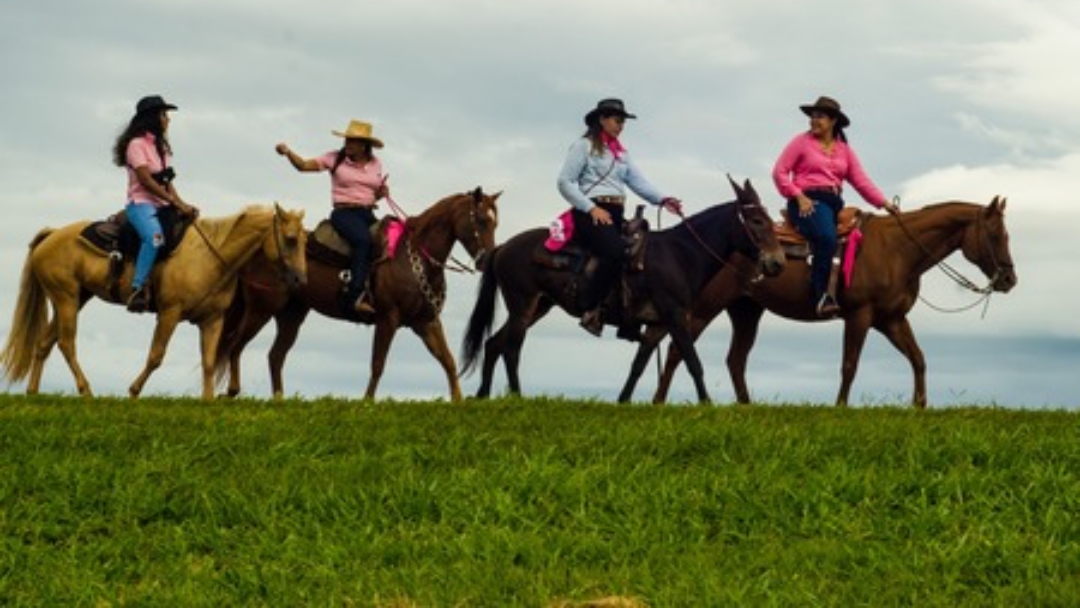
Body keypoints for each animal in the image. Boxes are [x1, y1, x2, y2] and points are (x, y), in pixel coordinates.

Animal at [3, 206, 308, 399]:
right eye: (291, 240)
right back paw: (86, 390)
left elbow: (209, 362)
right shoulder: (169, 314)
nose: (300, 280)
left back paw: (33, 392)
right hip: (65, 298)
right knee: (66, 344)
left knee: (44, 343)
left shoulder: (212, 320)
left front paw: (208, 401)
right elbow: (156, 356)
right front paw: (134, 391)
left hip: (76, 298)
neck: (209, 257)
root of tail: (52, 234)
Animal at [213, 187, 501, 401]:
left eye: (495, 222)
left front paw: (458, 401)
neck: (415, 256)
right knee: (236, 343)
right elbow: (378, 363)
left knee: (275, 355)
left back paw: (278, 399)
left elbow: (448, 361)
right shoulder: (388, 319)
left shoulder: (426, 322)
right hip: (261, 308)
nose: (488, 260)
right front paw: (367, 402)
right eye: (482, 220)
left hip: (291, 315)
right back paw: (233, 390)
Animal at [460, 177, 790, 403]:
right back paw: (516, 396)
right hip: (523, 304)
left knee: (494, 343)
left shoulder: (657, 324)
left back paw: (483, 395)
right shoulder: (675, 317)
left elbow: (639, 365)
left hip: (538, 306)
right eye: (757, 220)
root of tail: (504, 247)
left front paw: (623, 401)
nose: (777, 262)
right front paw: (706, 404)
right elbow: (693, 361)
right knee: (511, 348)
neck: (679, 255)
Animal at [652, 199, 1015, 408]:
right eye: (997, 235)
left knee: (735, 360)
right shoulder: (859, 316)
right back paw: (659, 401)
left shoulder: (892, 320)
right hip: (705, 308)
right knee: (676, 350)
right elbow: (849, 365)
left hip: (746, 311)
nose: (1009, 280)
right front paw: (840, 407)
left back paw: (746, 406)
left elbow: (918, 359)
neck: (897, 250)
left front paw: (919, 406)